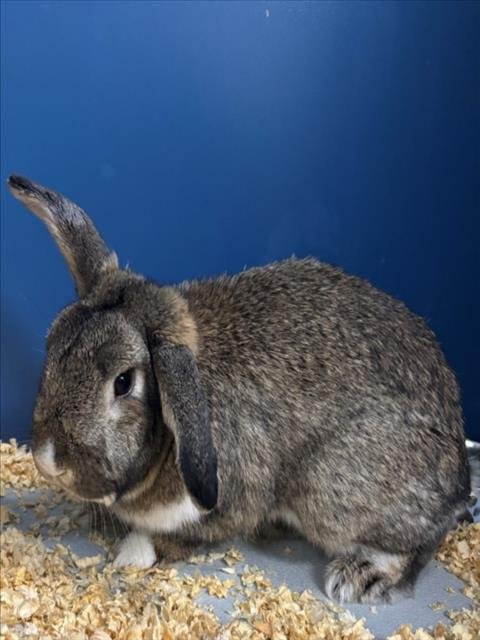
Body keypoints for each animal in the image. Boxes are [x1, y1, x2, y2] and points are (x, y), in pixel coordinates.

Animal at [8, 174, 471, 604]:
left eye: (123, 382)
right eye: (54, 348)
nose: (47, 459)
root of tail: (458, 484)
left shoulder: (229, 502)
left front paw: (135, 552)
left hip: (331, 489)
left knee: (415, 544)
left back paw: (359, 574)